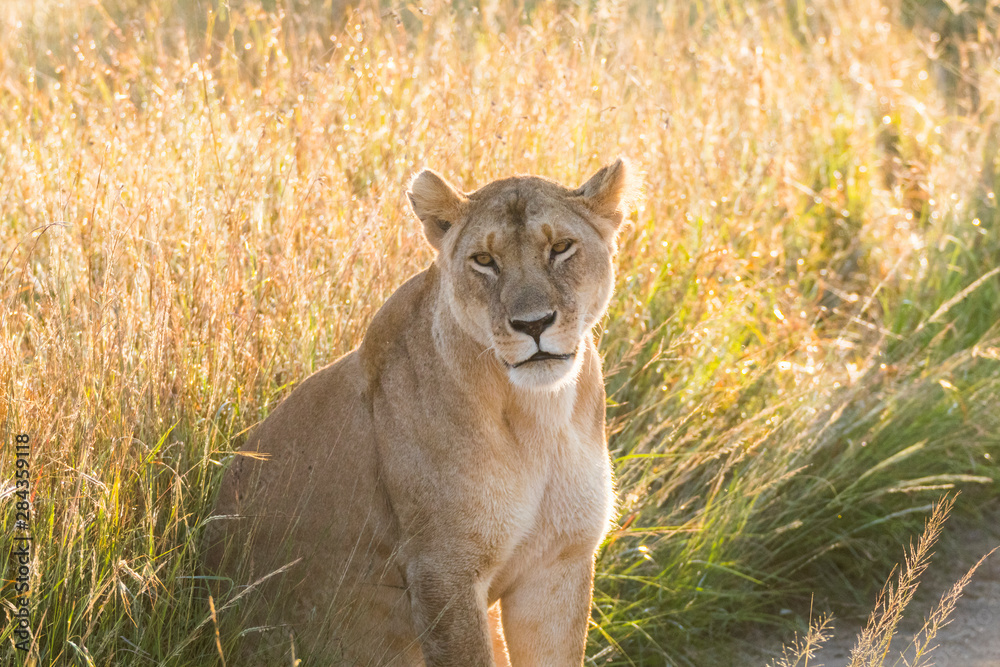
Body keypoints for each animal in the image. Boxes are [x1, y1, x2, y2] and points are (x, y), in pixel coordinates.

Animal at [205, 159, 636, 666]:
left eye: (561, 248)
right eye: (484, 260)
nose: (532, 324)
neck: (540, 417)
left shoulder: (558, 565)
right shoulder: (443, 571)